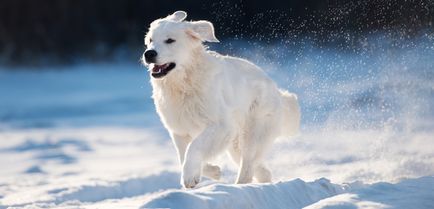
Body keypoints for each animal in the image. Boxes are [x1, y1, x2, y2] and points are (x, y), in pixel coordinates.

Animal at [144, 10, 300, 189]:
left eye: (170, 40)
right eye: (150, 41)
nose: (149, 53)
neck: (185, 83)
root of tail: (276, 90)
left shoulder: (221, 126)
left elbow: (194, 147)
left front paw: (190, 177)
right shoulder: (179, 130)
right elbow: (183, 155)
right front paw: (212, 171)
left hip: (252, 134)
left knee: (248, 165)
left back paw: (239, 186)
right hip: (236, 145)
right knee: (259, 168)